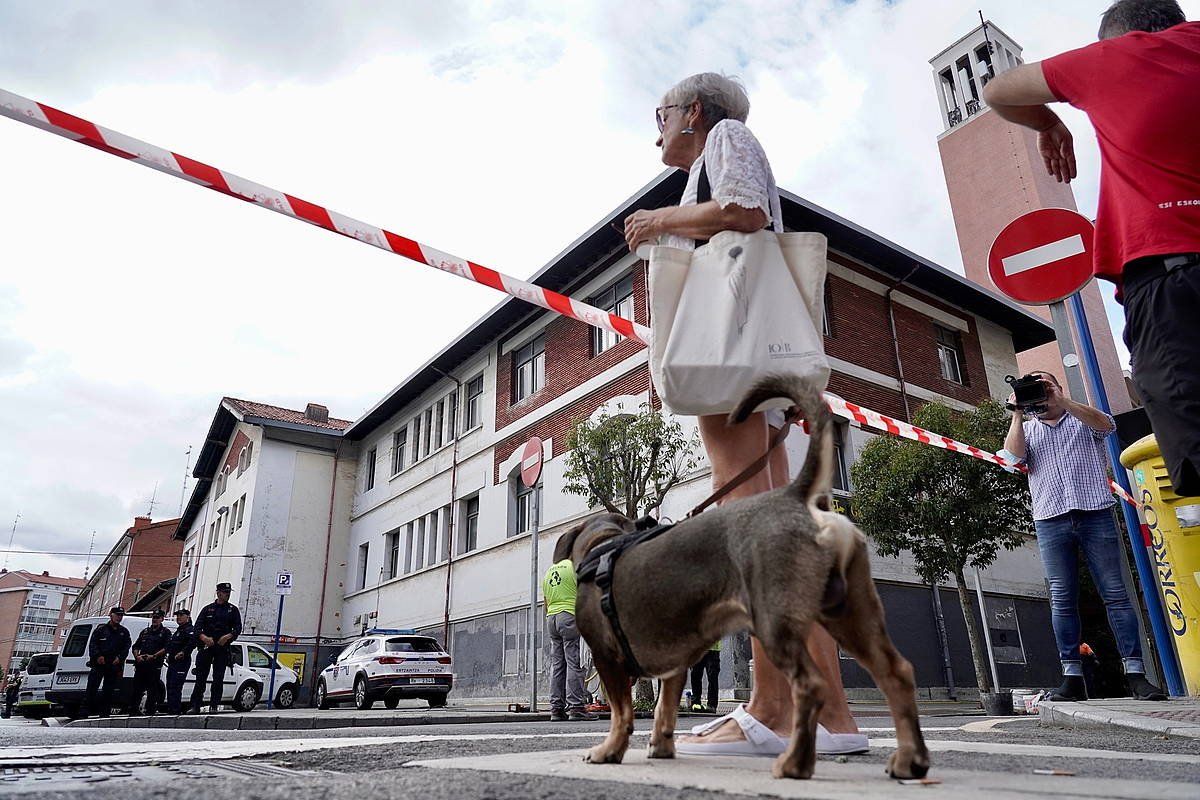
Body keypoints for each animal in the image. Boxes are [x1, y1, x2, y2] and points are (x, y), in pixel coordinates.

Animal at [556, 376, 931, 782]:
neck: (606, 544)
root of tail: (794, 497)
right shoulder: (675, 668)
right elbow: (663, 709)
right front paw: (661, 745)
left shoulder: (605, 656)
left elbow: (621, 711)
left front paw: (609, 749)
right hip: (850, 615)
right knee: (896, 674)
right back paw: (909, 759)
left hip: (775, 624)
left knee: (811, 687)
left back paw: (795, 763)